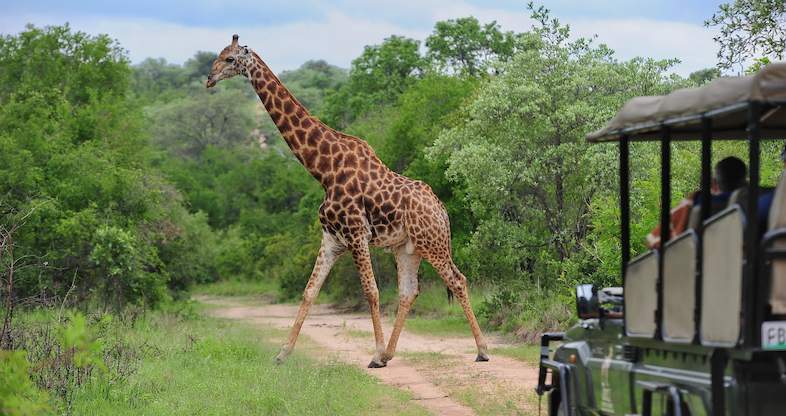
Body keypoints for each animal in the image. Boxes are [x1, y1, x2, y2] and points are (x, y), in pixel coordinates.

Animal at [204, 35, 484, 368]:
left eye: (231, 59)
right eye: (219, 55)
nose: (208, 79)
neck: (323, 170)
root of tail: (442, 209)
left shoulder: (356, 234)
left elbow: (371, 291)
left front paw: (373, 354)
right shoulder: (331, 239)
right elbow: (309, 291)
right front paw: (282, 354)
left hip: (433, 243)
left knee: (458, 279)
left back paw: (481, 350)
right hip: (408, 248)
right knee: (409, 291)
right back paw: (390, 353)